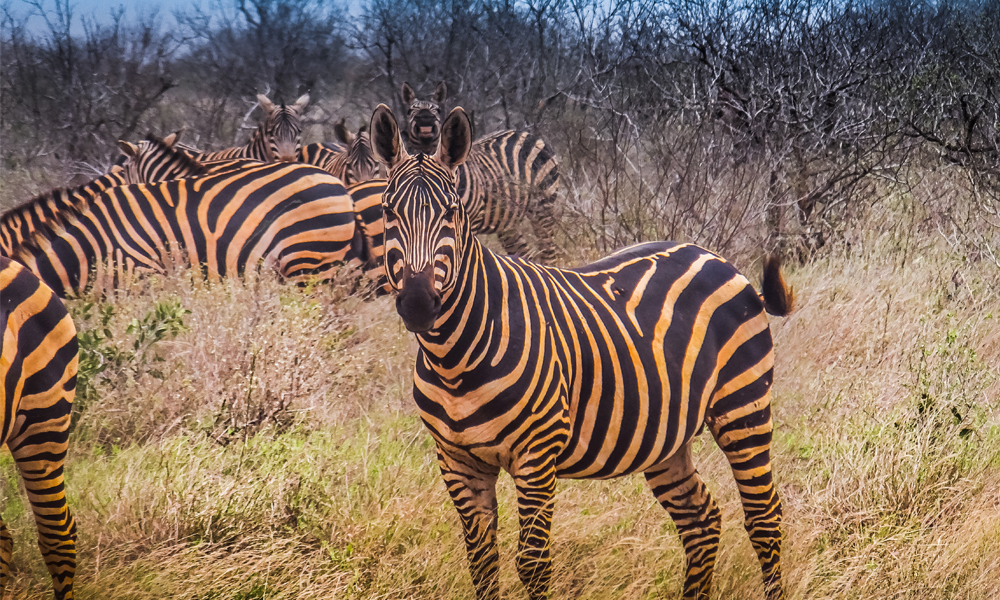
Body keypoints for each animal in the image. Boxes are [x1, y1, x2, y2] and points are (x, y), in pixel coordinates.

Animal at [372, 104, 792, 600]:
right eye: (387, 211)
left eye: (453, 213)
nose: (418, 304)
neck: (453, 357)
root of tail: (715, 257)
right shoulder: (457, 461)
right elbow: (482, 563)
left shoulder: (537, 455)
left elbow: (533, 564)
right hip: (666, 435)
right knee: (701, 519)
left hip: (743, 406)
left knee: (764, 518)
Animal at [396, 83, 564, 262]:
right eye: (410, 111)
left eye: (438, 110)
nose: (425, 123)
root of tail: (527, 133)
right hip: (507, 222)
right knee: (524, 253)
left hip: (543, 205)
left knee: (548, 251)